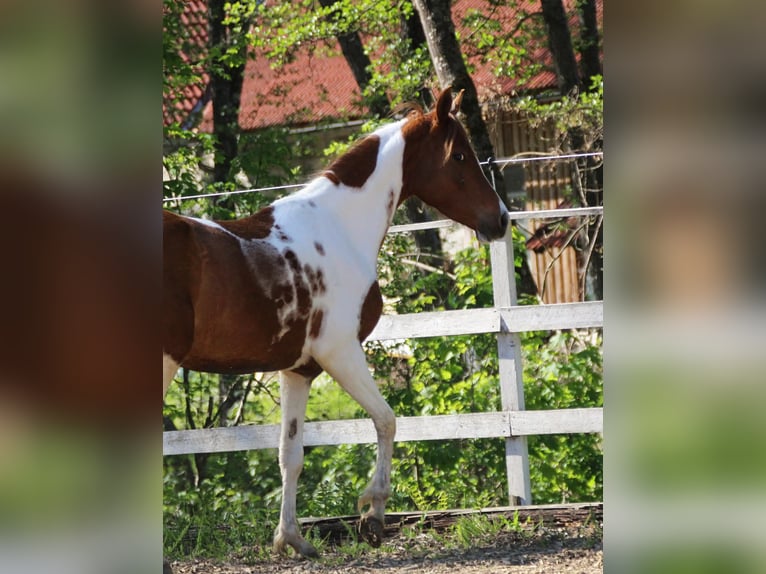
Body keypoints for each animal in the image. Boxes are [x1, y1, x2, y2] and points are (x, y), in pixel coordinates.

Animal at [162, 88, 509, 558]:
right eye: (458, 155)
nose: (501, 219)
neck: (339, 229)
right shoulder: (341, 352)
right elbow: (387, 420)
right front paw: (373, 514)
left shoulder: (298, 370)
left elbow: (290, 455)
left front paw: (292, 540)